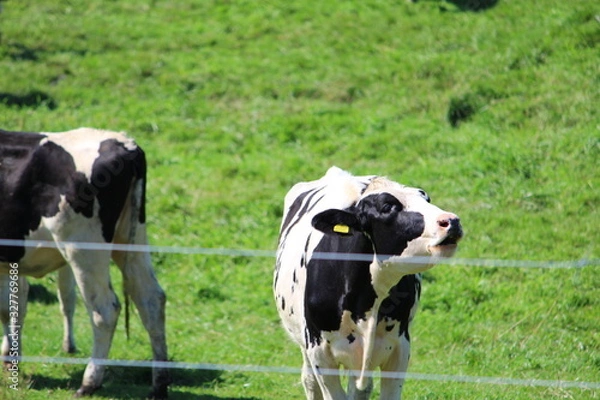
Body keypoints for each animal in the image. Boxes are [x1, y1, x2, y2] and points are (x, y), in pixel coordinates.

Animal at [0, 128, 169, 396]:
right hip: (131, 241)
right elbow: (11, 307)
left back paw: (89, 383)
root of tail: (125, 144)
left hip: (83, 249)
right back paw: (159, 383)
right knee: (151, 300)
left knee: (105, 310)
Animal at [274, 166, 462, 400]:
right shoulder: (319, 353)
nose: (451, 220)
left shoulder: (400, 348)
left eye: (426, 198)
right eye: (387, 207)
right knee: (309, 380)